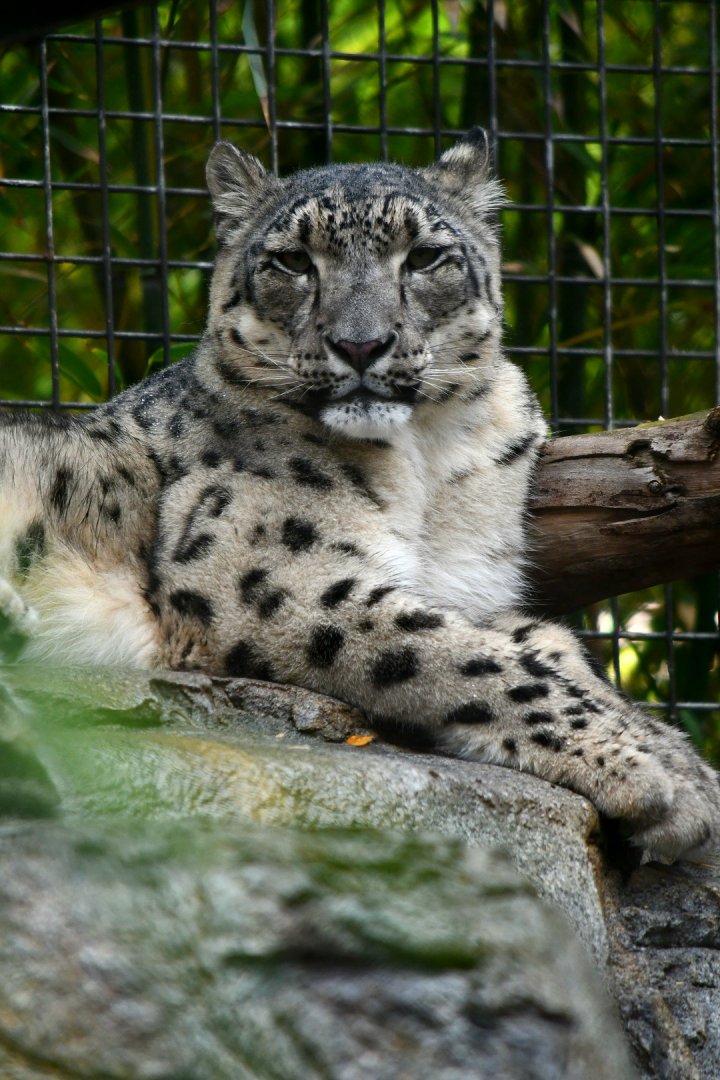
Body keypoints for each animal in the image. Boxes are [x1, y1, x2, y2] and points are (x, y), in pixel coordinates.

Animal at [1, 128, 719, 862]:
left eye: (425, 256)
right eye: (292, 261)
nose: (360, 344)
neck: (429, 461)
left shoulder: (468, 589)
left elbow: (545, 647)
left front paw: (677, 756)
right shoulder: (271, 579)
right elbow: (459, 655)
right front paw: (644, 772)